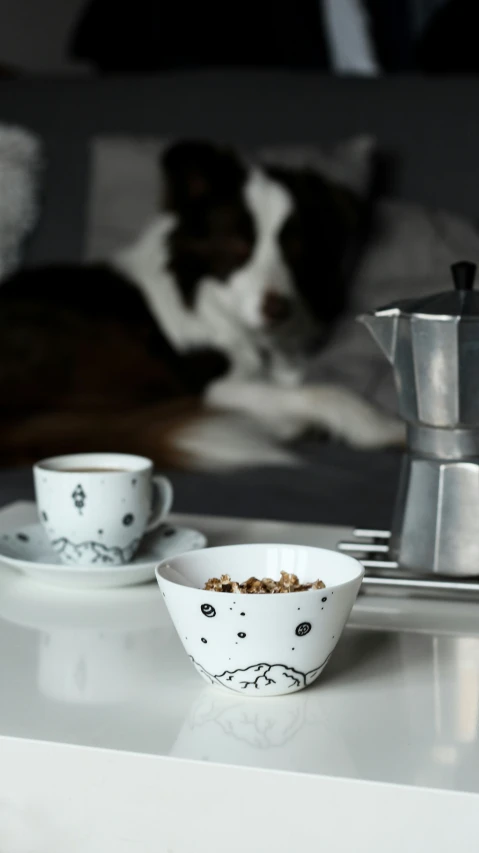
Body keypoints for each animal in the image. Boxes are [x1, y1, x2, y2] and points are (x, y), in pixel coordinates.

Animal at [0, 142, 404, 470]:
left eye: (297, 249)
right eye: (237, 245)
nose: (278, 310)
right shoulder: (205, 385)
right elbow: (324, 391)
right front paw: (381, 426)